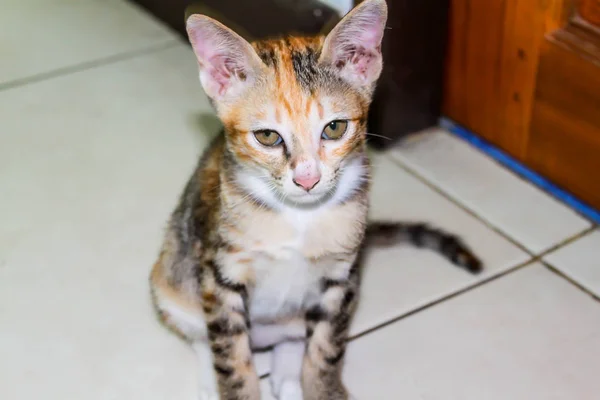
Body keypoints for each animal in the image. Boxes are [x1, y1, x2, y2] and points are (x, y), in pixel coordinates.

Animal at [150, 1, 482, 398]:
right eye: (267, 136)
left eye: (334, 128)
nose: (307, 178)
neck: (299, 217)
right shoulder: (220, 275)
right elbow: (230, 358)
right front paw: (233, 385)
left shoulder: (341, 277)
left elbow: (326, 347)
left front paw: (324, 387)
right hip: (170, 279)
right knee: (203, 336)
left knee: (291, 344)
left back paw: (289, 378)